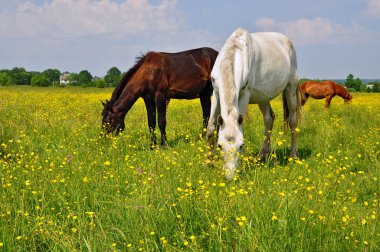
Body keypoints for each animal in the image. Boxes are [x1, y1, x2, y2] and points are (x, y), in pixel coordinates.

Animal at [206, 27, 302, 179]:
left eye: (241, 145)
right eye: (220, 145)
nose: (230, 176)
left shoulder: (245, 94)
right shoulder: (216, 92)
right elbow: (210, 127)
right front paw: (208, 162)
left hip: (290, 88)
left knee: (293, 121)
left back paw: (293, 155)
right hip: (263, 97)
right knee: (269, 118)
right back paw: (263, 154)